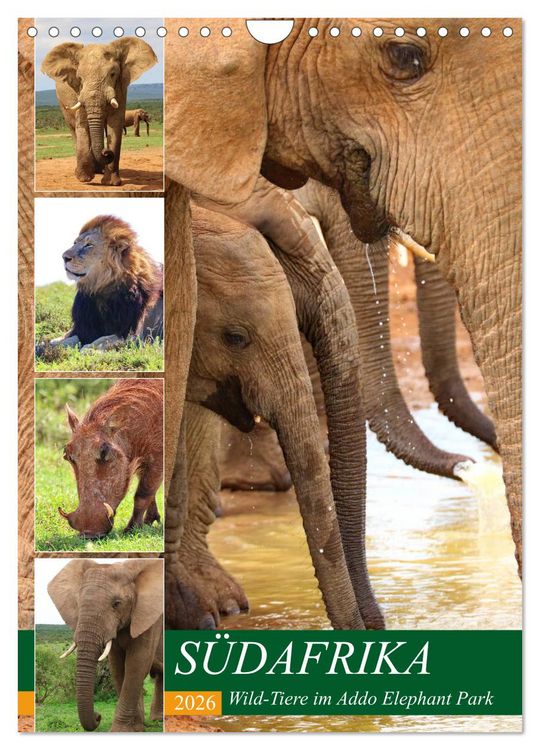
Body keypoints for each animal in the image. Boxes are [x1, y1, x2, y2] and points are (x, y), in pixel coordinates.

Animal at [41, 38, 157, 186]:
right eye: (80, 78)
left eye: (112, 74)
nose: (106, 153)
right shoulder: (80, 92)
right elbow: (82, 124)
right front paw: (84, 178)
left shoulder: (120, 88)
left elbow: (115, 125)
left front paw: (111, 183)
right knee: (74, 130)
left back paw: (99, 170)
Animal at [47, 559, 163, 732]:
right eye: (78, 603)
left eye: (116, 604)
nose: (98, 716)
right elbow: (117, 667)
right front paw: (135, 728)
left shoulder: (151, 617)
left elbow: (136, 664)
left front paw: (122, 730)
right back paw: (156, 720)